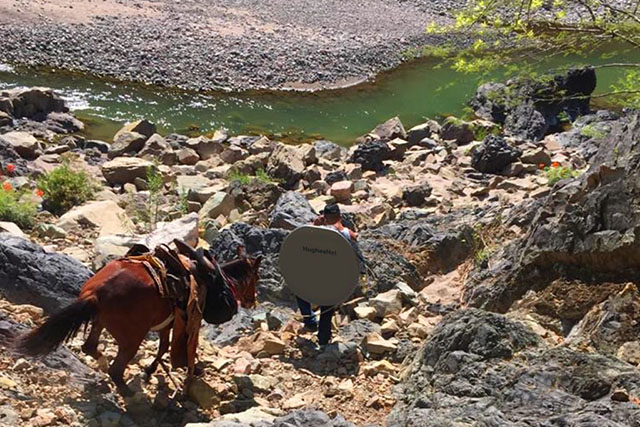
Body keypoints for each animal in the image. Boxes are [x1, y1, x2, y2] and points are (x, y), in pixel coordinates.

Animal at [14, 240, 262, 396]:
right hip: (132, 338)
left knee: (90, 347)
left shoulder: (166, 324)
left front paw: (150, 370)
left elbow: (163, 347)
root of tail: (95, 294)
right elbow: (169, 348)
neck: (215, 280)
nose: (252, 301)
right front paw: (163, 371)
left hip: (100, 322)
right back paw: (127, 391)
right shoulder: (184, 323)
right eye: (256, 278)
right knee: (116, 369)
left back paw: (103, 364)